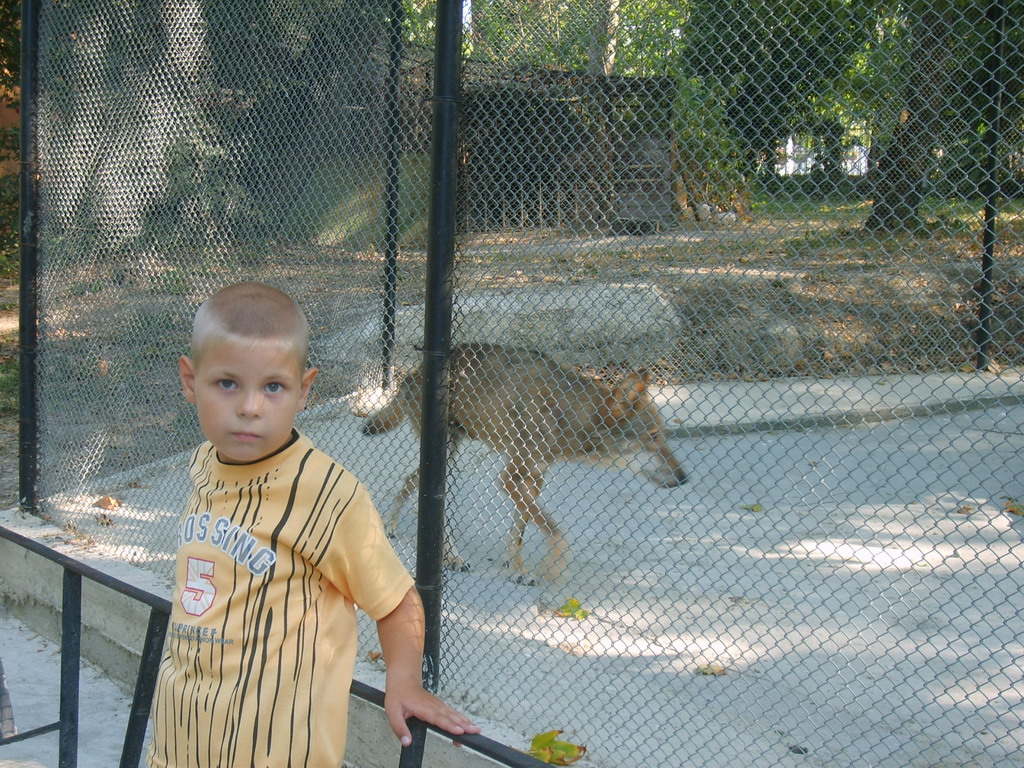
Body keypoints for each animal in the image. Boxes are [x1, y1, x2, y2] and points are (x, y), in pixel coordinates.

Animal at [362, 343, 687, 582]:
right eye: (653, 436)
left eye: (664, 435)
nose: (684, 478)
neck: (565, 416)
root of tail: (410, 375)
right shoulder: (509, 477)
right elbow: (556, 535)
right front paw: (551, 568)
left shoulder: (534, 477)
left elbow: (521, 528)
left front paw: (514, 565)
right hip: (448, 456)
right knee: (419, 490)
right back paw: (432, 547)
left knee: (412, 481)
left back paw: (408, 533)